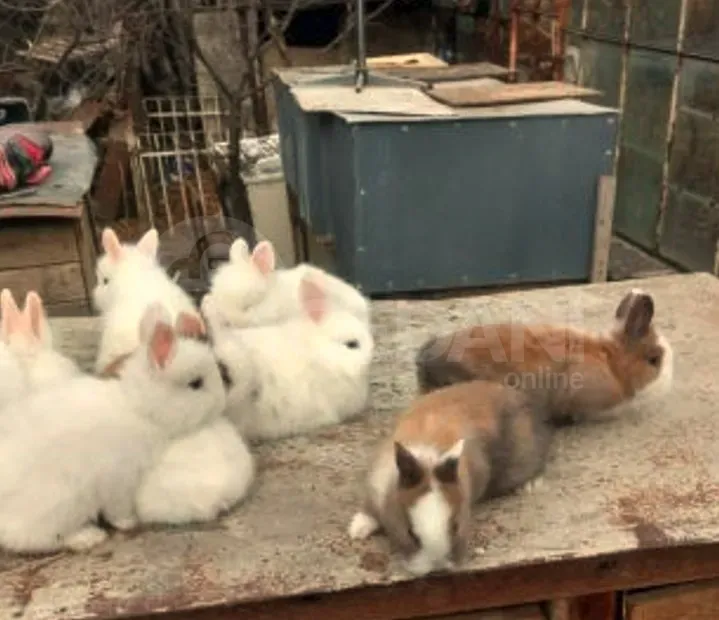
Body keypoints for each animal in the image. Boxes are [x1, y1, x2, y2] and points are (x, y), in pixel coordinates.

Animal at [0, 303, 227, 554]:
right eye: (195, 384)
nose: (222, 401)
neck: (138, 408)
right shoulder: (119, 477)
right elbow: (117, 508)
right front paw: (129, 522)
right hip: (59, 503)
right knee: (33, 538)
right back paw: (87, 537)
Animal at [348, 379, 553, 577]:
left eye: (455, 526)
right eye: (410, 533)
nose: (437, 567)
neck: (428, 460)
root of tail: (522, 398)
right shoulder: (376, 485)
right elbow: (369, 509)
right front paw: (358, 529)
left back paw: (529, 485)